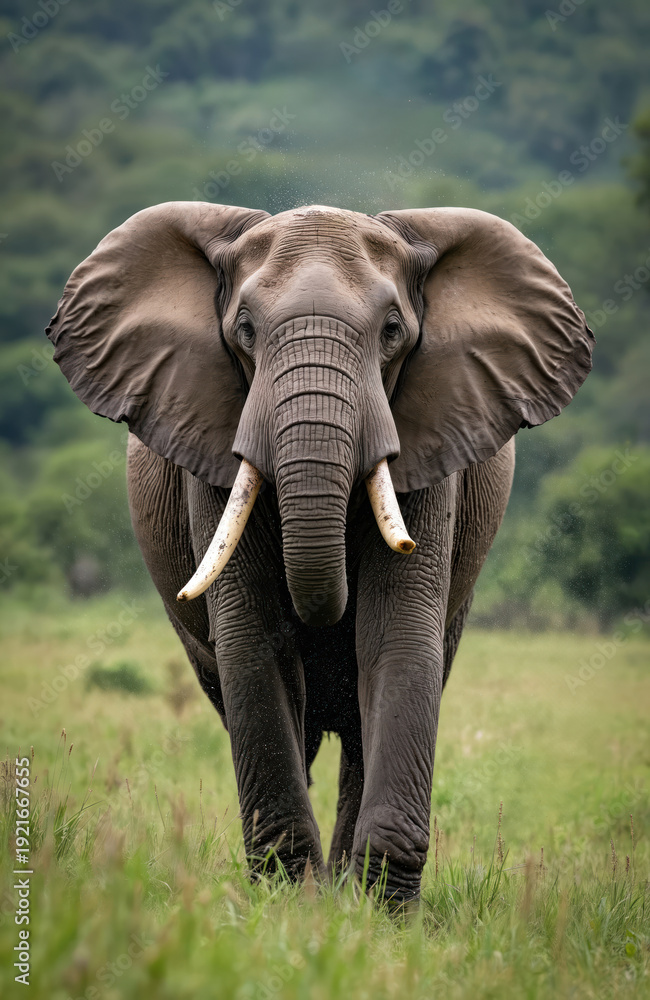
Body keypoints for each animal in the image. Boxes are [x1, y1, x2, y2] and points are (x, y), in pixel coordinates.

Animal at [46, 201, 593, 903]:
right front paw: (287, 901)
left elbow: (396, 638)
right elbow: (255, 644)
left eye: (392, 330)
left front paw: (379, 911)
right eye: (245, 330)